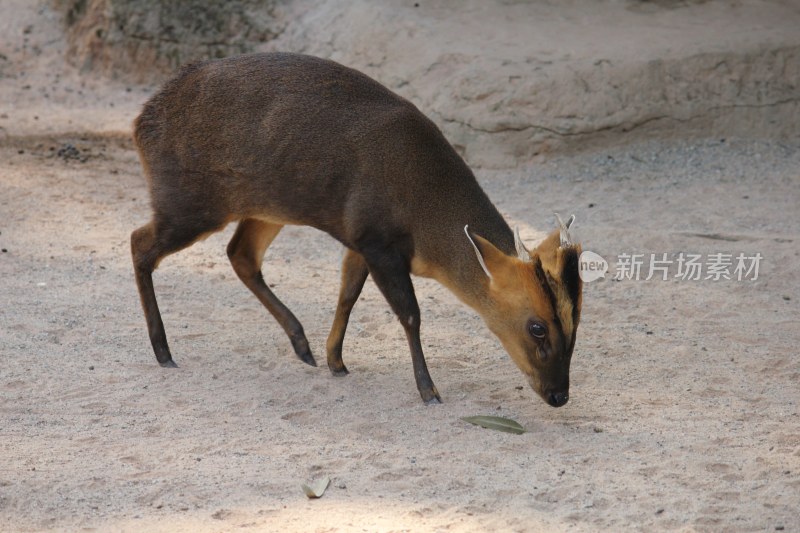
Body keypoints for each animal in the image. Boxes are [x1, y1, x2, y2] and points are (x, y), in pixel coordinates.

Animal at [131, 52, 580, 406]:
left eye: (576, 321)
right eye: (537, 327)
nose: (559, 395)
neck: (425, 219)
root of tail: (141, 120)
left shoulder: (357, 238)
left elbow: (347, 294)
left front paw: (335, 360)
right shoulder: (377, 238)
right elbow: (410, 313)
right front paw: (428, 390)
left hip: (267, 207)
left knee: (240, 255)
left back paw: (302, 345)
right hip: (190, 201)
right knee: (140, 242)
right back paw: (162, 349)